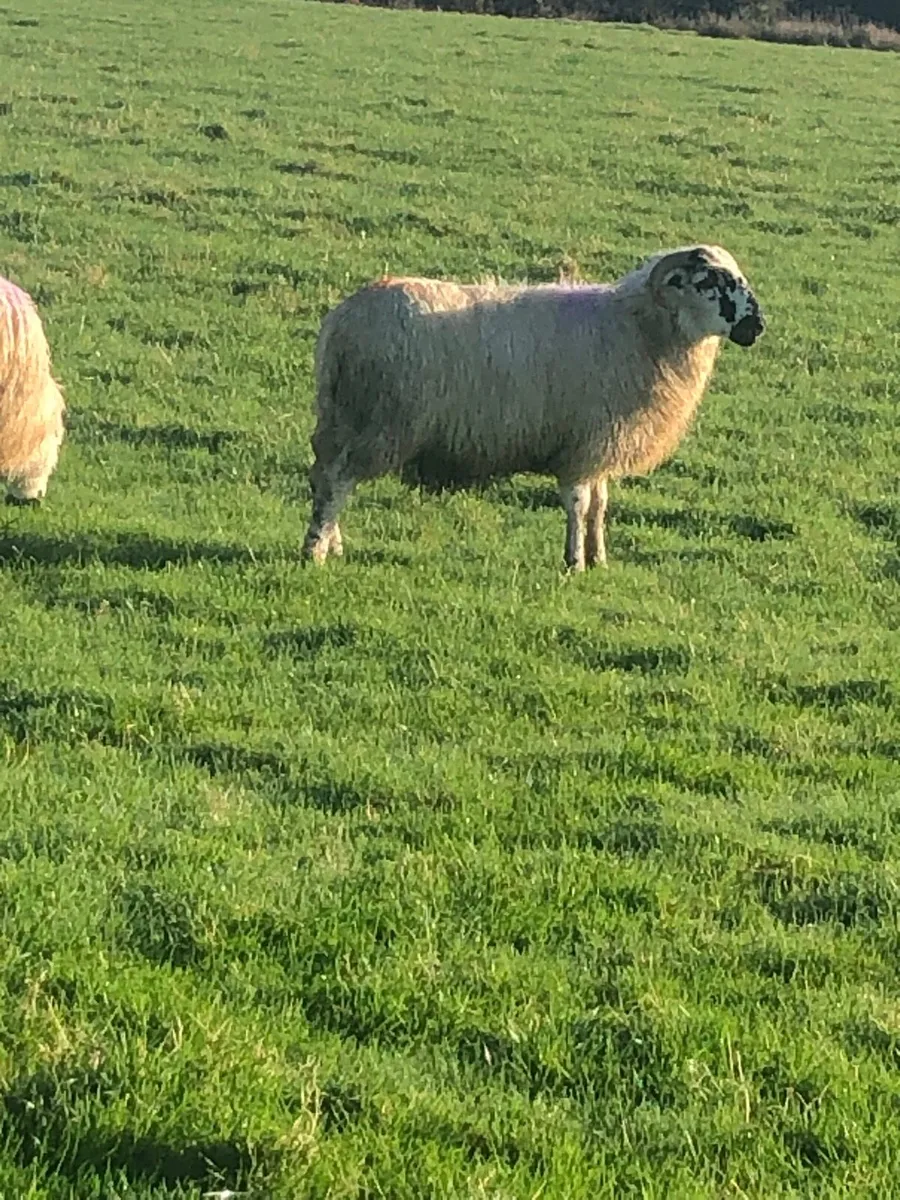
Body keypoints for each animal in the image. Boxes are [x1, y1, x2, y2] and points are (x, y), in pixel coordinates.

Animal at [302, 244, 764, 570]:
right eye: (710, 280)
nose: (756, 326)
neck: (639, 328)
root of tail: (339, 323)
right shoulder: (579, 448)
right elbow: (578, 504)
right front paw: (574, 562)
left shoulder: (597, 445)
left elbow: (600, 504)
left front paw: (598, 558)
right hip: (376, 422)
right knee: (337, 482)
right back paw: (316, 551)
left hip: (344, 419)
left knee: (325, 478)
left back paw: (332, 544)